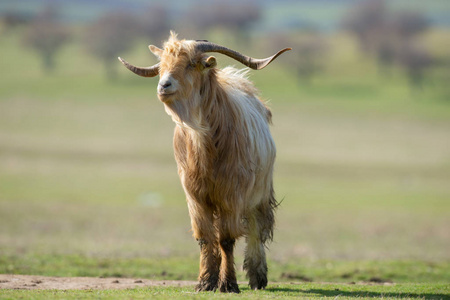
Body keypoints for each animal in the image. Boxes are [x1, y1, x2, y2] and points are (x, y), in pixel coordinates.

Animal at [118, 32, 290, 292]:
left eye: (191, 64)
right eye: (162, 66)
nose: (164, 85)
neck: (204, 147)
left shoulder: (232, 194)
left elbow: (227, 239)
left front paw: (228, 284)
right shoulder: (195, 195)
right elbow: (205, 238)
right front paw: (205, 281)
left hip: (258, 192)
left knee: (255, 229)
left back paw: (257, 277)